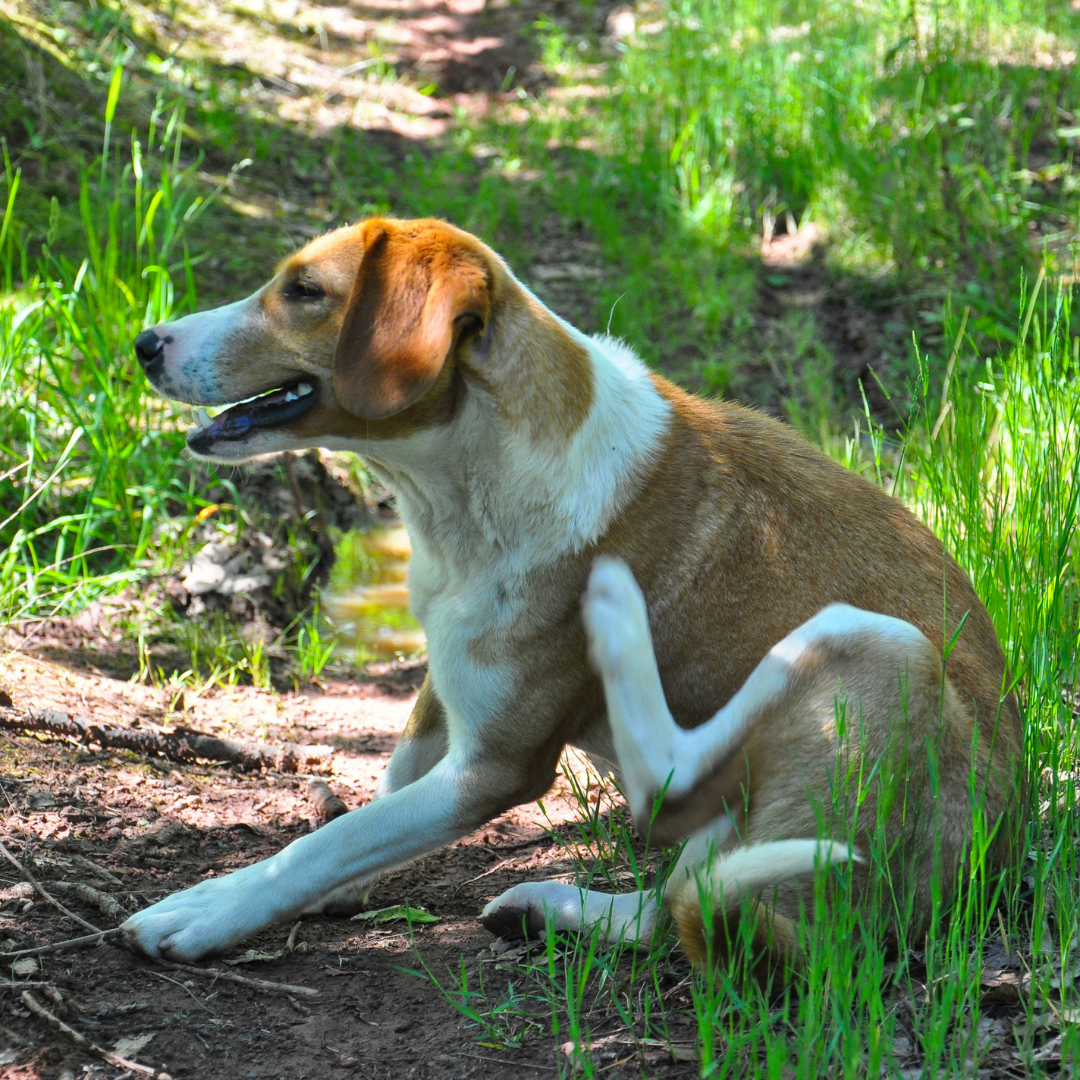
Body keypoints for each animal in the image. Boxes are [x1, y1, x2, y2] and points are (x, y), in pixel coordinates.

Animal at [126, 217, 1019, 963]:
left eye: (305, 291)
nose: (144, 343)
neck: (464, 494)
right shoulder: (445, 693)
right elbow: (384, 794)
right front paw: (339, 889)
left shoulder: (496, 767)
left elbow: (320, 845)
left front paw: (214, 908)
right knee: (663, 908)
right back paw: (553, 909)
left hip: (874, 640)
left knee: (669, 798)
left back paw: (617, 619)